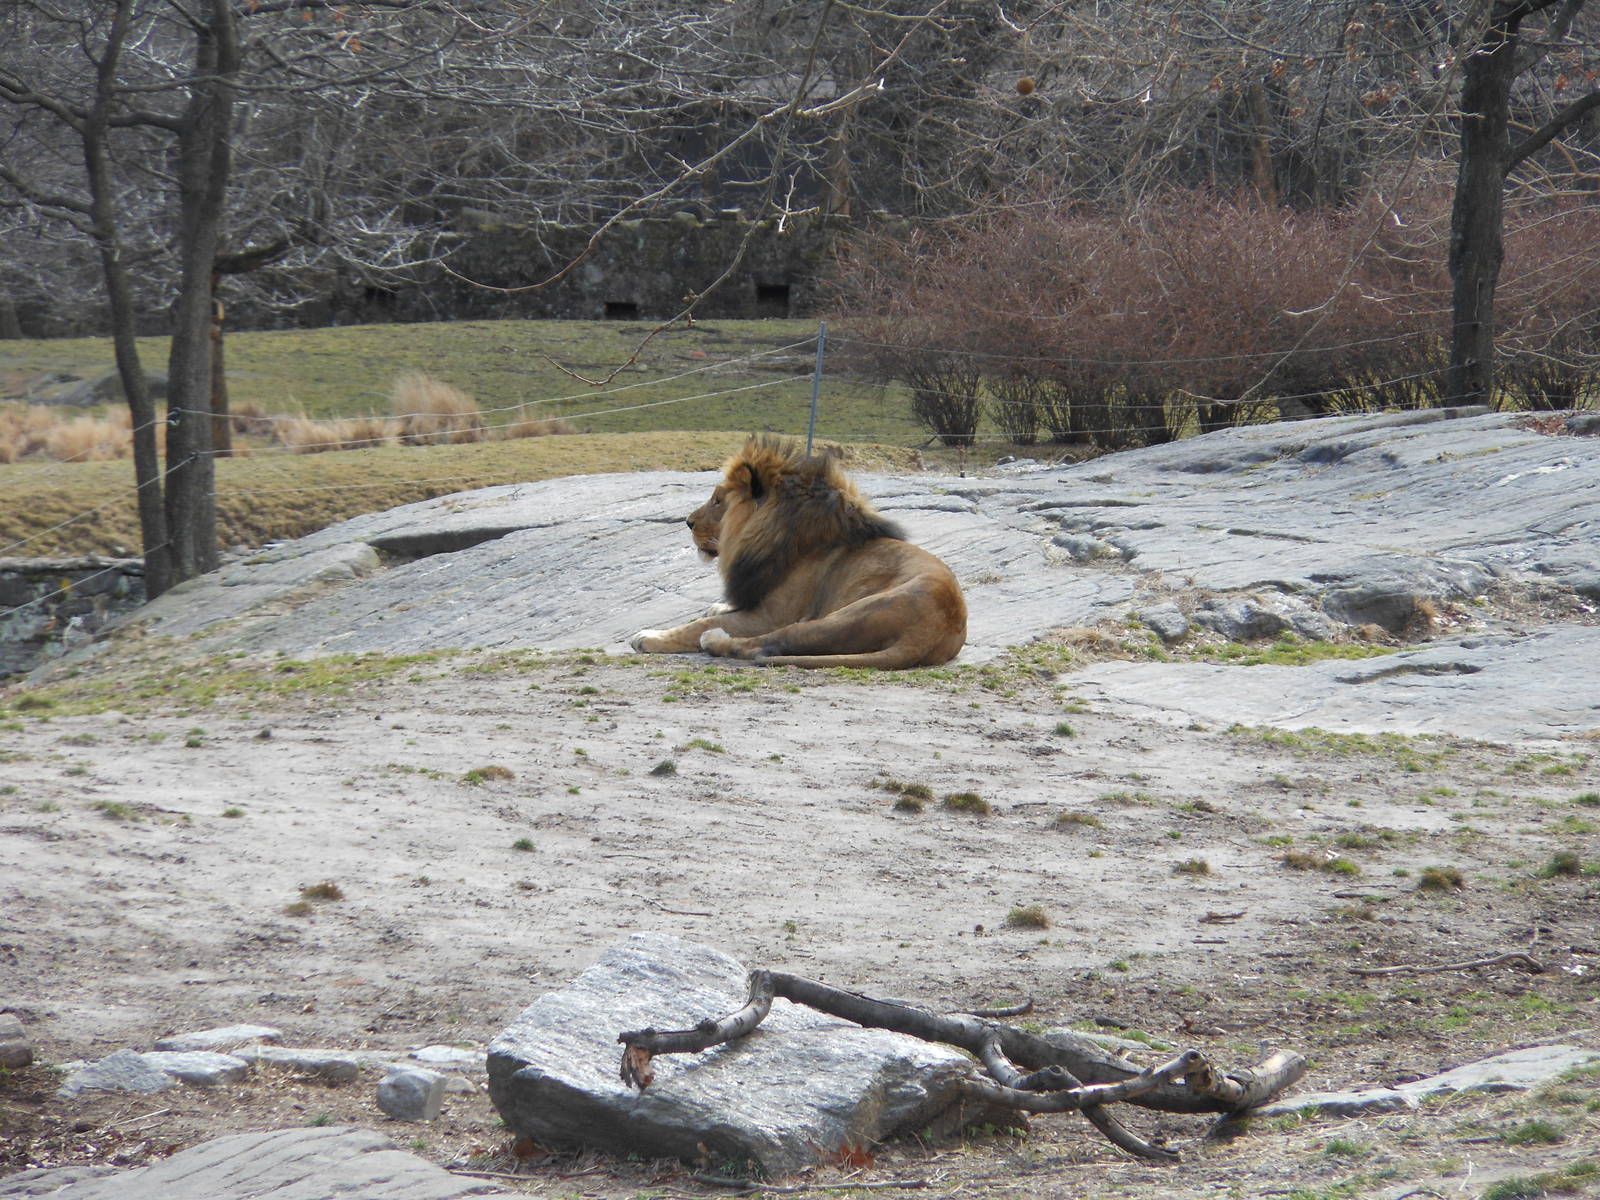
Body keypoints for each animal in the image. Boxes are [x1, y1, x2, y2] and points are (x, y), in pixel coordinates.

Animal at [629, 435, 967, 669]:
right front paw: (717, 606)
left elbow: (696, 625)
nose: (688, 522)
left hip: (838, 615)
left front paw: (651, 637)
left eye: (717, 500)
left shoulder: (769, 615)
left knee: (764, 645)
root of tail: (928, 633)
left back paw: (713, 639)